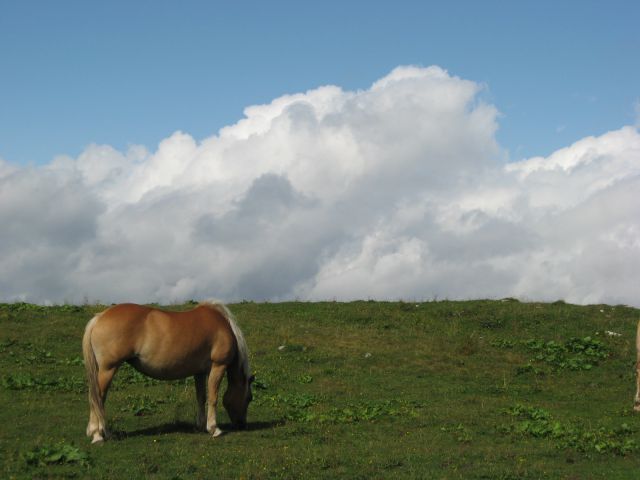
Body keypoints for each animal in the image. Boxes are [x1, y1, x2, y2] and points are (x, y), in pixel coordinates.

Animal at [79, 302, 250, 444]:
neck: (222, 325)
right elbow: (213, 397)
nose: (242, 425)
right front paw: (214, 428)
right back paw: (98, 435)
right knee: (97, 398)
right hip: (108, 369)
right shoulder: (218, 366)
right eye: (249, 398)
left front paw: (200, 425)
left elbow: (201, 398)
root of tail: (100, 317)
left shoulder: (199, 373)